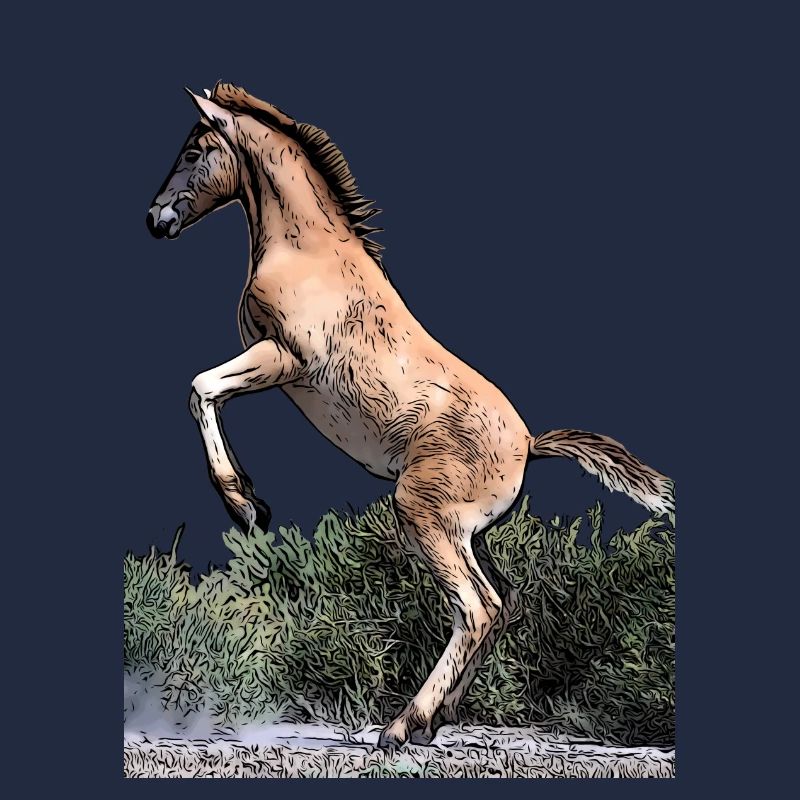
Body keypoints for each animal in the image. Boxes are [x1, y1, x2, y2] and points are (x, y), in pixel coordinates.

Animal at [146, 82, 674, 749]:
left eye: (194, 150)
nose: (155, 219)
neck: (307, 253)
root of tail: (529, 442)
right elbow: (205, 391)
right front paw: (250, 506)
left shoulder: (281, 358)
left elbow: (201, 389)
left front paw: (247, 507)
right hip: (468, 532)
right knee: (500, 604)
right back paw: (433, 722)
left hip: (424, 515)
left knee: (477, 608)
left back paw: (403, 725)